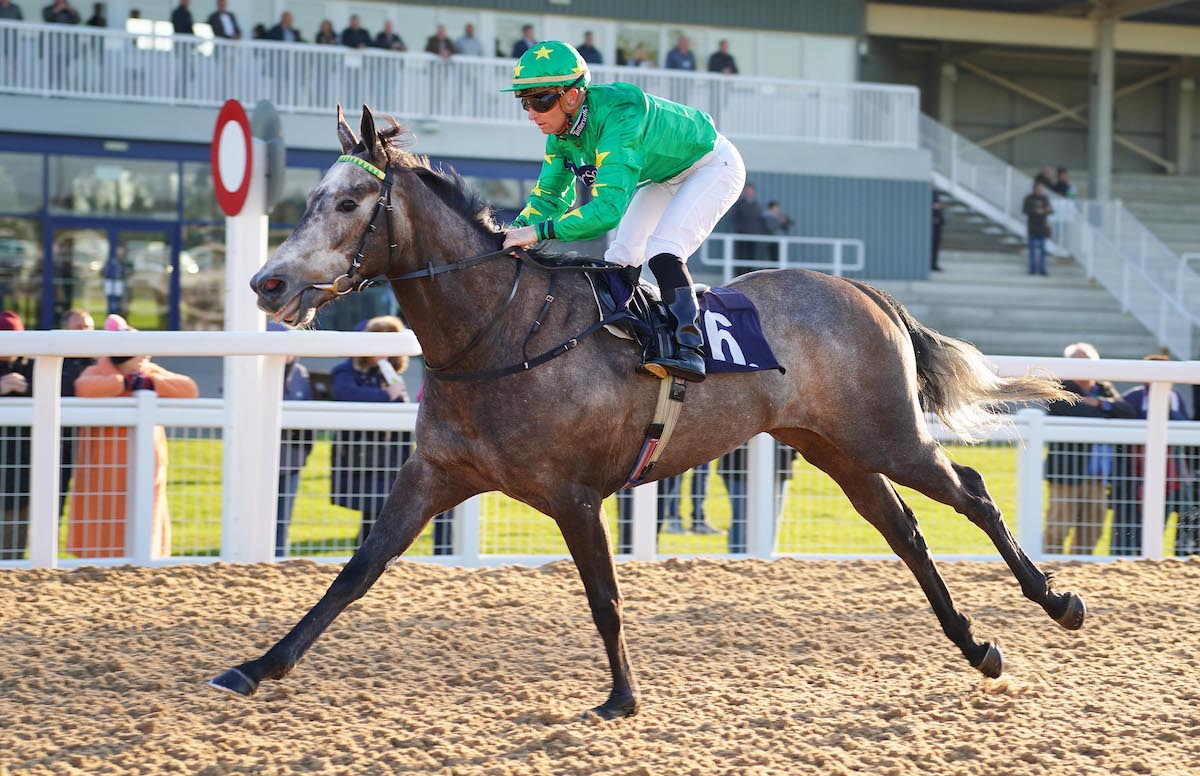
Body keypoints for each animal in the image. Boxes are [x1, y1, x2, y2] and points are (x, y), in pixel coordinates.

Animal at [211, 106, 1084, 719]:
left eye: (351, 201)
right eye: (311, 199)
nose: (267, 285)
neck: (498, 328)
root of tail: (863, 290)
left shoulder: (572, 496)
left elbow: (604, 597)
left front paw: (621, 698)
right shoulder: (436, 473)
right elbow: (356, 571)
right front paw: (257, 666)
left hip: (887, 435)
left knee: (973, 492)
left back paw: (1059, 603)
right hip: (835, 449)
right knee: (905, 533)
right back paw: (978, 648)